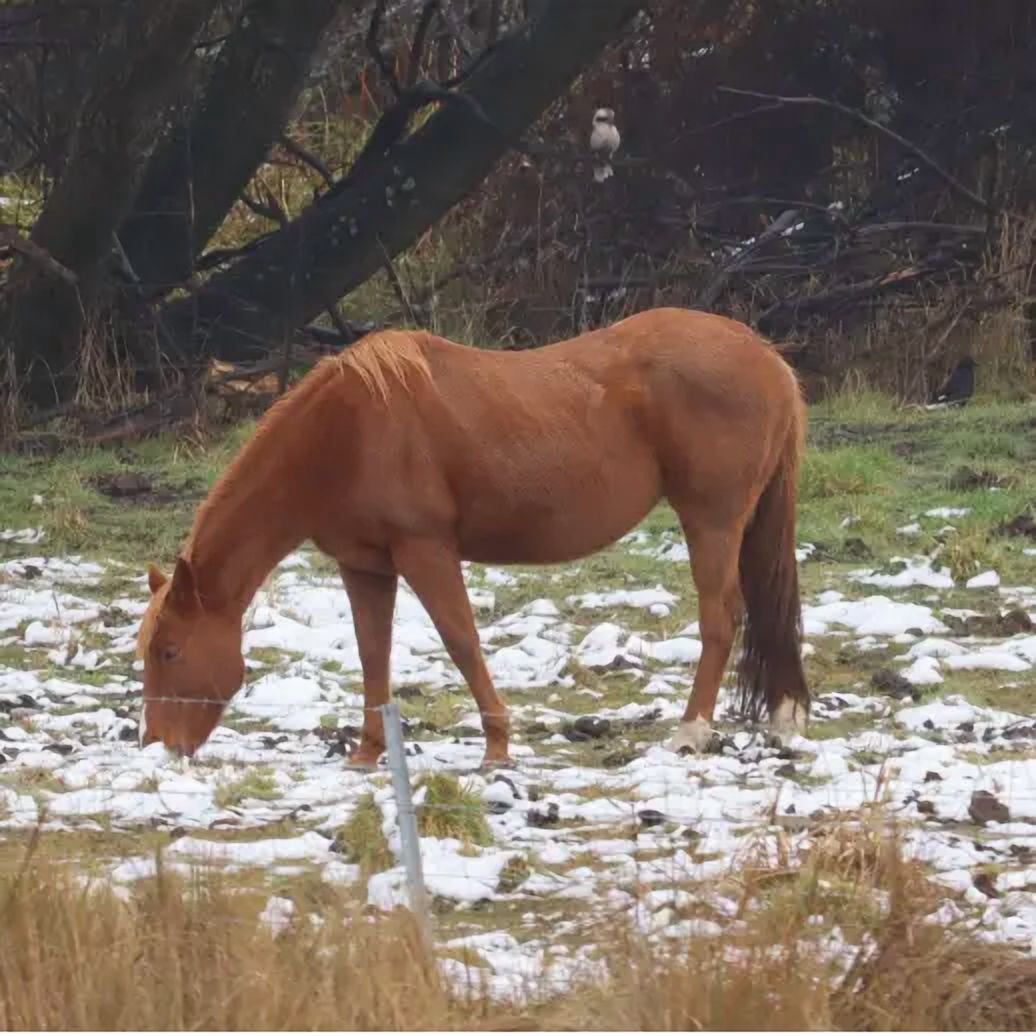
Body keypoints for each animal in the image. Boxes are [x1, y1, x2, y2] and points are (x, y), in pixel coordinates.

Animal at [137, 307, 810, 768]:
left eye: (168, 651)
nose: (160, 746)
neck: (346, 432)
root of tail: (766, 356)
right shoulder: (366, 566)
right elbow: (372, 655)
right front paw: (368, 753)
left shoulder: (425, 550)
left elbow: (460, 640)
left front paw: (497, 747)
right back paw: (782, 715)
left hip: (712, 521)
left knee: (721, 617)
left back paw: (691, 731)